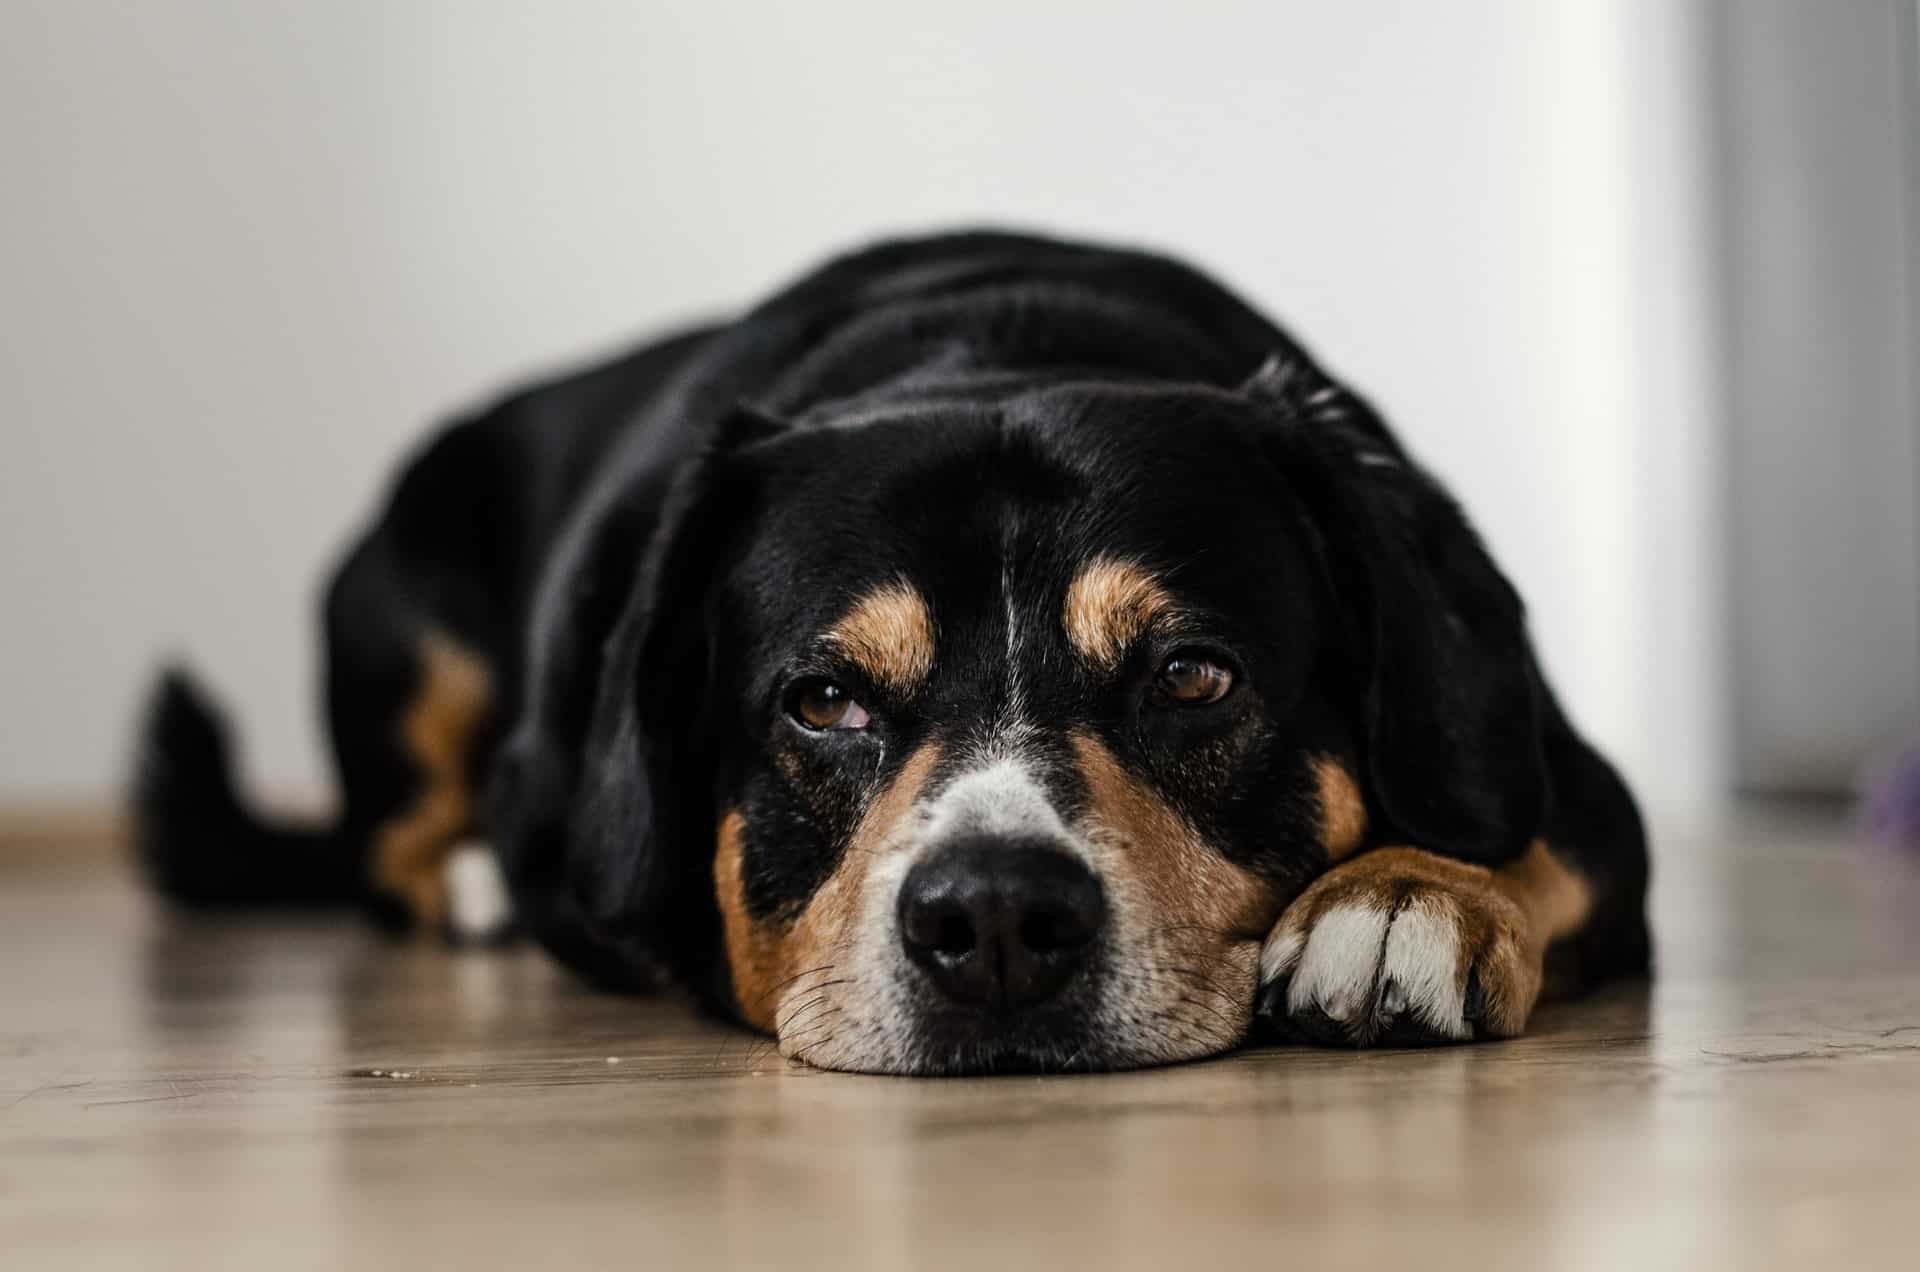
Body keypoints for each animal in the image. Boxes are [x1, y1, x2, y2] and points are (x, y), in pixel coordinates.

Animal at [135, 231, 1651, 1076]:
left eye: (1192, 677)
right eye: (823, 702)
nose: (996, 921)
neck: (996, 350)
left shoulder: (1568, 771)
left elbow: (1536, 837)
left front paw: (1401, 897)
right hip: (408, 628)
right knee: (388, 840)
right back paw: (471, 884)